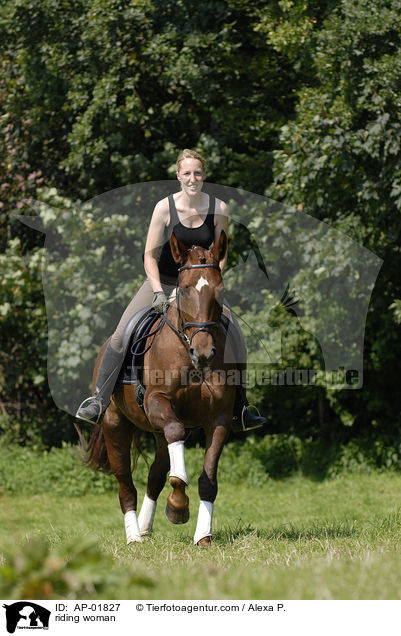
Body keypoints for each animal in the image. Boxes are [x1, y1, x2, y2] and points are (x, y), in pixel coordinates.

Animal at [84, 230, 234, 548]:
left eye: (220, 290)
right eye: (185, 290)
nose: (204, 353)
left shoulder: (219, 419)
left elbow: (207, 480)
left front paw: (203, 534)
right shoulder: (158, 403)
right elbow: (177, 466)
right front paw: (178, 505)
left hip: (156, 431)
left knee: (155, 474)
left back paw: (144, 527)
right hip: (115, 422)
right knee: (125, 483)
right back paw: (133, 537)